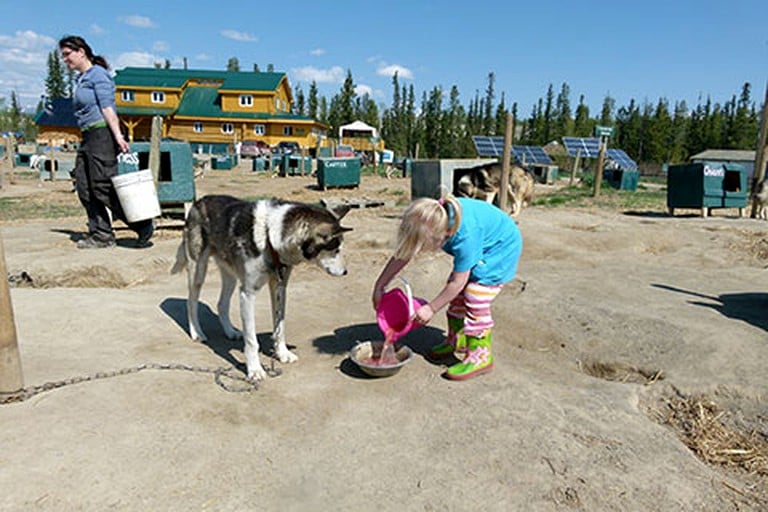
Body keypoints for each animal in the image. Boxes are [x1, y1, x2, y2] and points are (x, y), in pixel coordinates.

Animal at [171, 196, 352, 380]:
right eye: (336, 250)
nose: (345, 272)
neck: (269, 238)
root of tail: (200, 200)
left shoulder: (279, 287)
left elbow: (280, 328)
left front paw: (282, 354)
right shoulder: (248, 293)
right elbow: (252, 341)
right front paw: (254, 369)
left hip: (231, 276)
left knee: (221, 304)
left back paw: (230, 331)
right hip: (198, 273)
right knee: (191, 302)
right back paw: (197, 333)